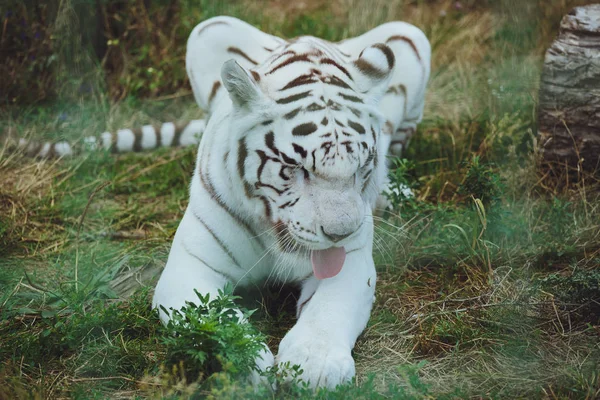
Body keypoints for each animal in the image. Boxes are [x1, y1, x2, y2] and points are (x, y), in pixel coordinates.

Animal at [152, 17, 428, 390]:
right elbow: (216, 319)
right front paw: (246, 366)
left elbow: (328, 310)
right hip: (208, 29)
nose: (340, 234)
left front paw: (314, 366)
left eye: (360, 167)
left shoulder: (353, 264)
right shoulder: (190, 268)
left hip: (410, 36)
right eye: (297, 168)